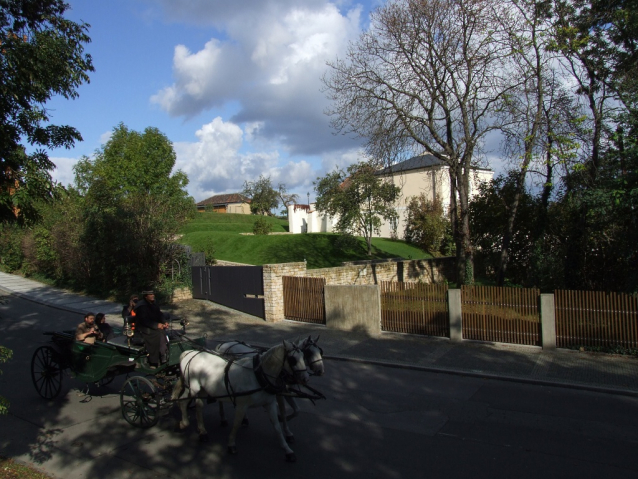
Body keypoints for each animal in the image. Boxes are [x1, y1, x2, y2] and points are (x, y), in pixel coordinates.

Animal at [170, 340, 310, 464]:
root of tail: (189, 353)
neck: (258, 375)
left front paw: (288, 450)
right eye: (292, 359)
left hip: (203, 389)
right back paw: (192, 427)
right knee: (188, 404)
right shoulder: (242, 405)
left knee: (194, 405)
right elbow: (236, 424)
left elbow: (277, 427)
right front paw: (231, 444)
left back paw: (196, 428)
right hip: (194, 388)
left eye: (304, 356)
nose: (305, 378)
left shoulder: (269, 404)